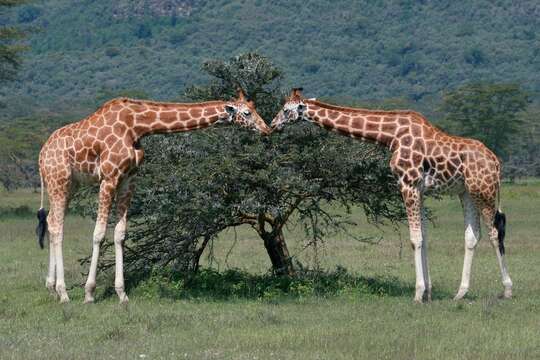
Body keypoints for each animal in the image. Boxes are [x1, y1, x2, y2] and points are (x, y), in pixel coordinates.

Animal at [36, 89, 270, 304]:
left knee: (51, 221)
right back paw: (63, 293)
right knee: (57, 227)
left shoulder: (129, 179)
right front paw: (89, 293)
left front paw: (122, 294)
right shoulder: (108, 178)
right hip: (59, 180)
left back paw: (51, 288)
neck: (137, 126)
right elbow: (99, 234)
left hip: (70, 186)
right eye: (247, 113)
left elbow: (120, 234)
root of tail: (41, 155)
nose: (267, 129)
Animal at [272, 88, 512, 302]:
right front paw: (429, 292)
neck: (390, 136)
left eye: (285, 109)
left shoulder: (408, 184)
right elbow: (424, 237)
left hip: (484, 191)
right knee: (472, 236)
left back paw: (507, 290)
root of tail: (496, 163)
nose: (273, 125)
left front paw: (418, 294)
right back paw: (460, 293)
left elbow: (415, 239)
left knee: (494, 233)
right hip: (466, 193)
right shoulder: (420, 189)